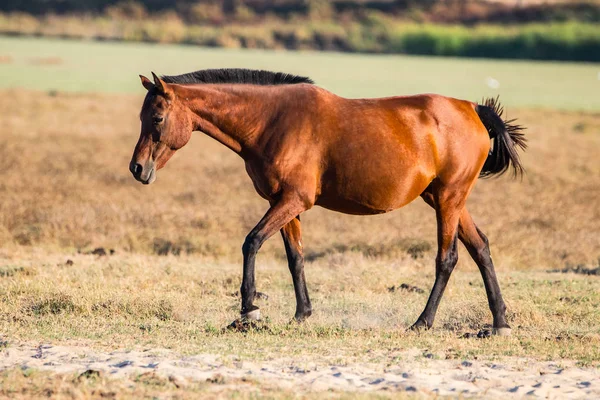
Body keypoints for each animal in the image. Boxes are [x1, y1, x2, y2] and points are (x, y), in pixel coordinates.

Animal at [130, 69, 524, 334]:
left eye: (157, 118)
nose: (137, 168)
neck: (270, 120)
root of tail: (473, 109)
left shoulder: (293, 201)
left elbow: (251, 242)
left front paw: (249, 309)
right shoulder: (285, 204)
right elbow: (295, 258)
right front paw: (302, 313)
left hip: (447, 200)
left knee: (448, 258)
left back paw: (423, 321)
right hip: (447, 200)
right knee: (480, 248)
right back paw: (499, 322)